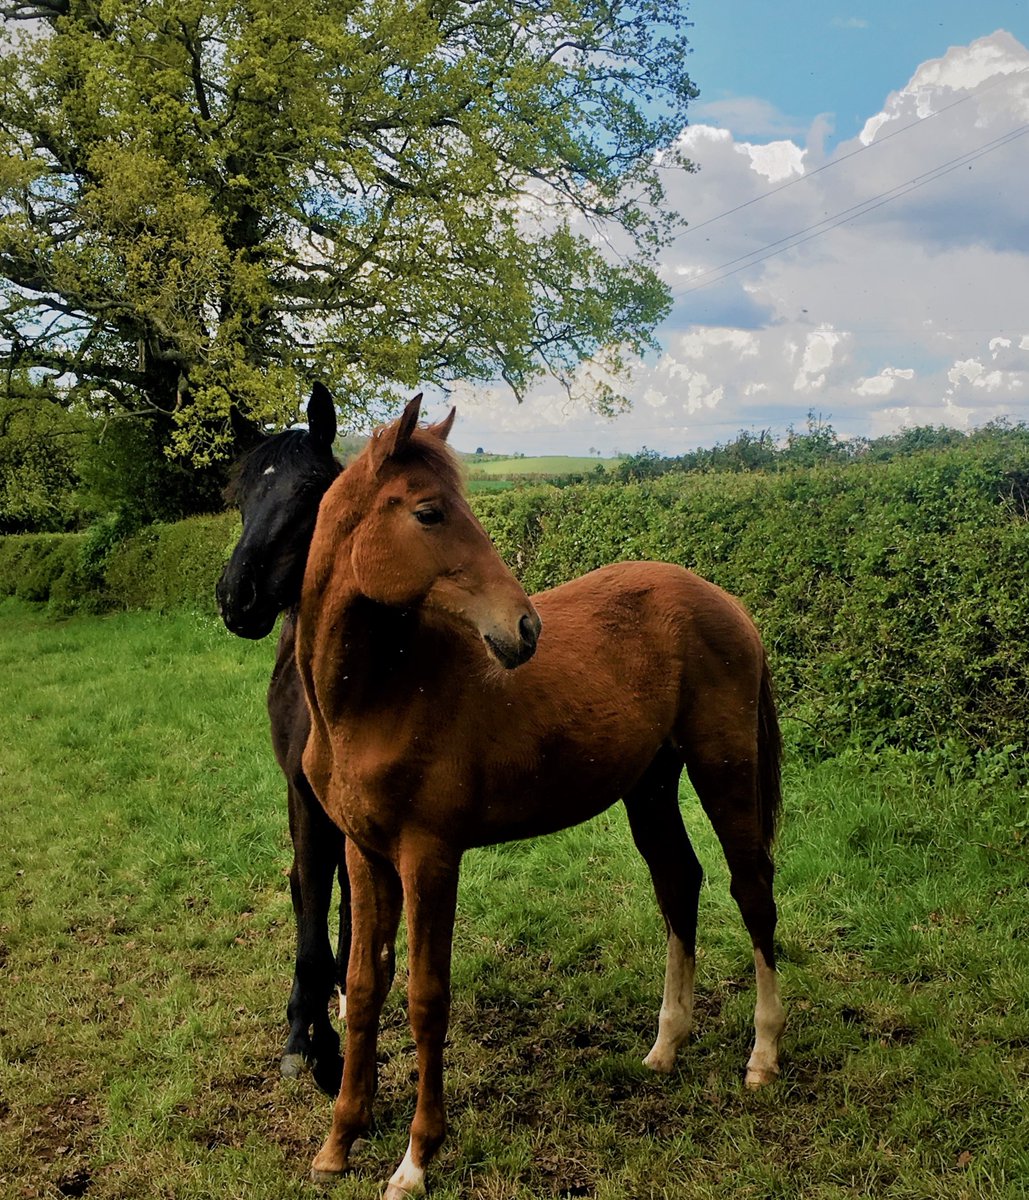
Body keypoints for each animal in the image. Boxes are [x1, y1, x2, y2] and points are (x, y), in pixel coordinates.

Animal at [296, 398, 786, 1195]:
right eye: (429, 512)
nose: (523, 629)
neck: (376, 696)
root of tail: (728, 604)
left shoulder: (430, 858)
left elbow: (426, 998)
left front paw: (415, 1159)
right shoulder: (365, 854)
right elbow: (365, 987)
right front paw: (340, 1141)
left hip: (724, 772)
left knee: (753, 892)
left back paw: (762, 1056)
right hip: (651, 787)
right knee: (679, 883)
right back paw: (665, 1046)